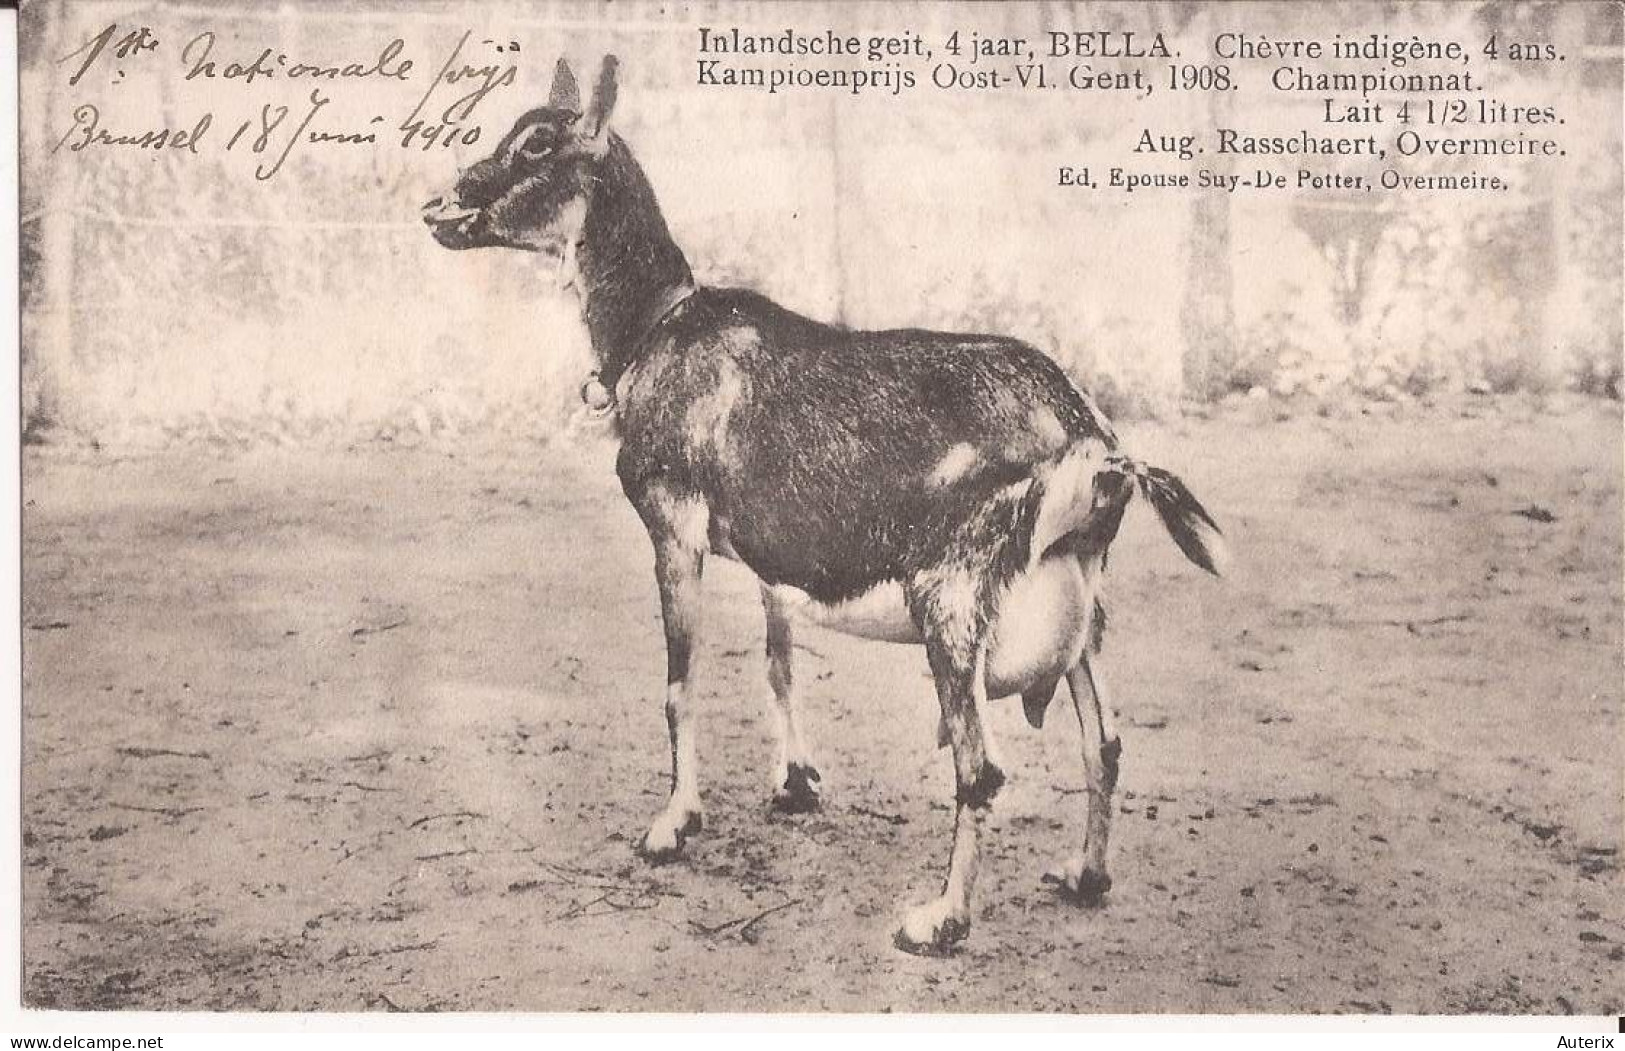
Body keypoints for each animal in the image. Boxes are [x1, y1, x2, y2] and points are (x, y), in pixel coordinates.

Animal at [425, 59, 1222, 961]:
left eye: (537, 143)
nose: (443, 202)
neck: (660, 330)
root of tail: (1095, 444)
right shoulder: (770, 555)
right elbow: (778, 662)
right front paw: (795, 781)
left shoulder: (673, 526)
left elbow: (679, 681)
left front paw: (673, 822)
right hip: (1081, 602)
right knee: (1105, 742)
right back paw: (1084, 873)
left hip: (950, 598)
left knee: (980, 768)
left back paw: (939, 920)